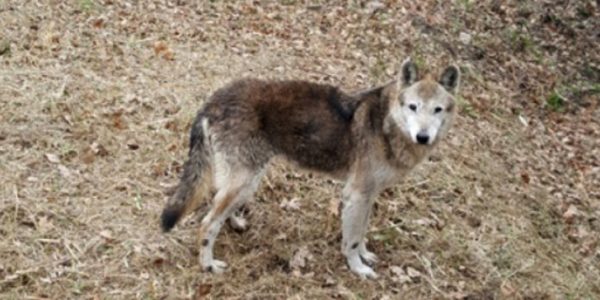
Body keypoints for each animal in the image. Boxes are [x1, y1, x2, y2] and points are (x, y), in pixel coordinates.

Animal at [159, 58, 460, 278]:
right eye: (413, 107)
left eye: (437, 110)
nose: (423, 137)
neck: (386, 124)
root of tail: (213, 100)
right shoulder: (356, 194)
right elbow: (351, 240)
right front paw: (359, 269)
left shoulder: (369, 196)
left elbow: (361, 231)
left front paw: (365, 256)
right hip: (246, 180)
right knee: (207, 223)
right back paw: (208, 265)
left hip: (247, 180)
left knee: (216, 203)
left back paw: (235, 223)